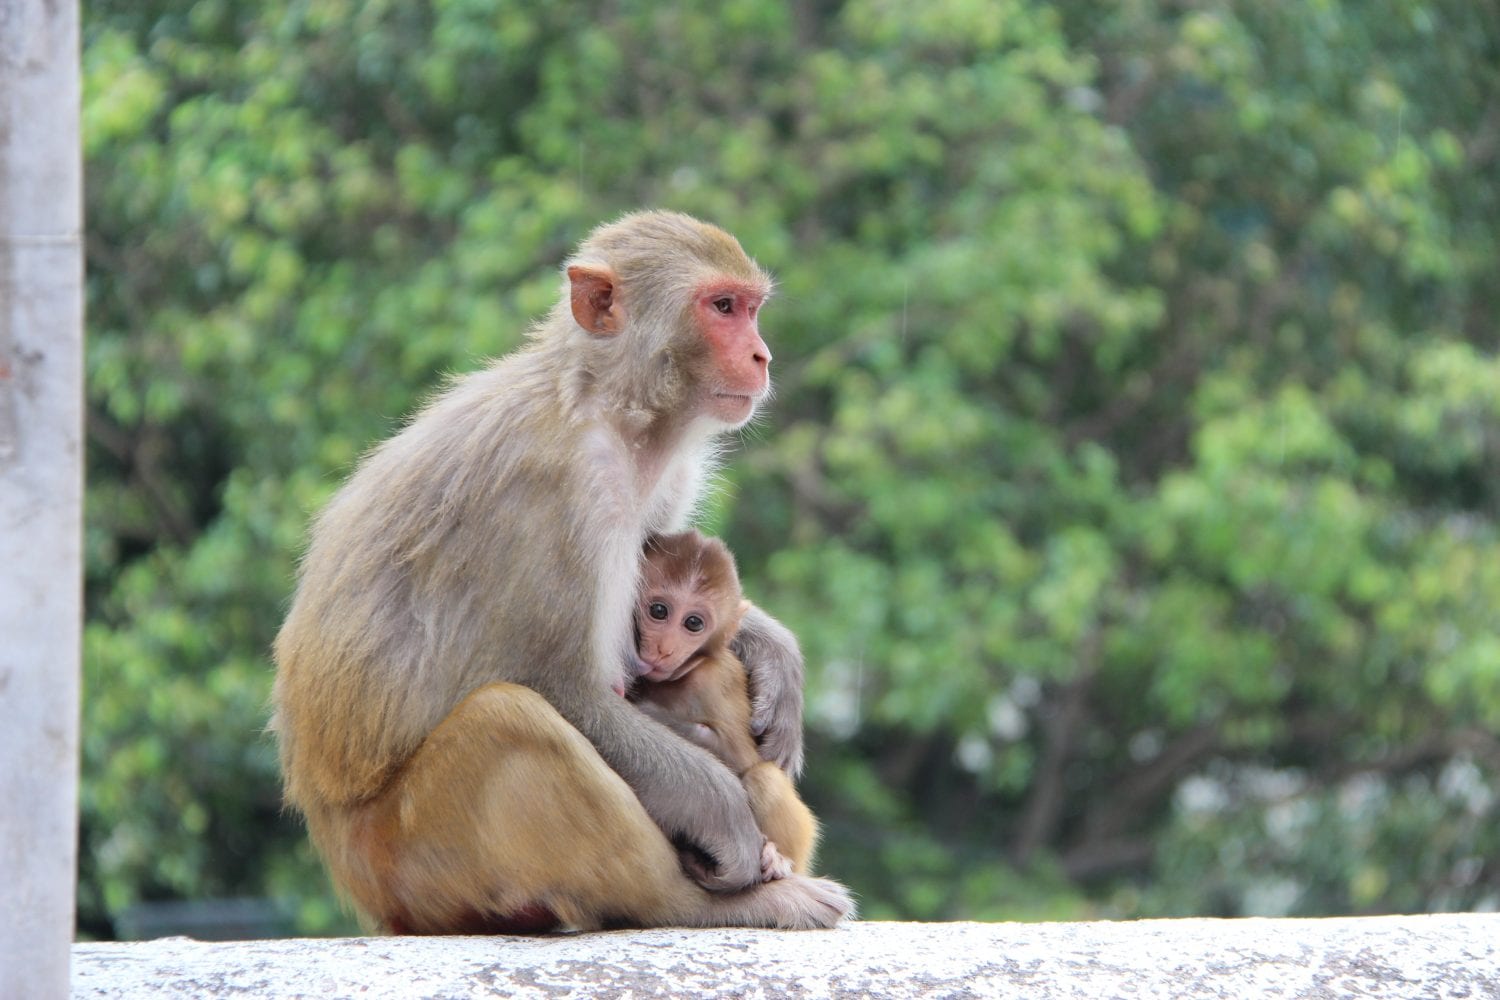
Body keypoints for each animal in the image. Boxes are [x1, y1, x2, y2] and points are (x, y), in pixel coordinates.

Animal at [633, 527, 822, 881]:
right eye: (659, 611)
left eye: (693, 623)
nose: (665, 649)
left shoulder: (710, 684)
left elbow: (733, 751)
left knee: (762, 779)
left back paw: (777, 860)